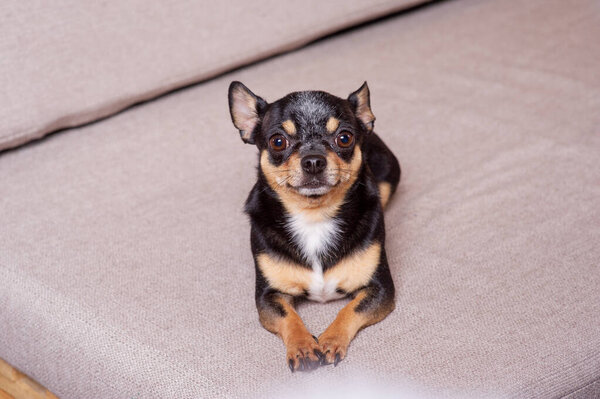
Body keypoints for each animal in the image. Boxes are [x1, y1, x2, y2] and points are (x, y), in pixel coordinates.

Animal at [227, 83, 400, 374]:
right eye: (277, 141)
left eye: (344, 138)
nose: (313, 160)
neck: (315, 216)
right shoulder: (268, 296)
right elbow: (288, 317)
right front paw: (303, 347)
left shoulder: (381, 289)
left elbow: (350, 309)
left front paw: (330, 340)